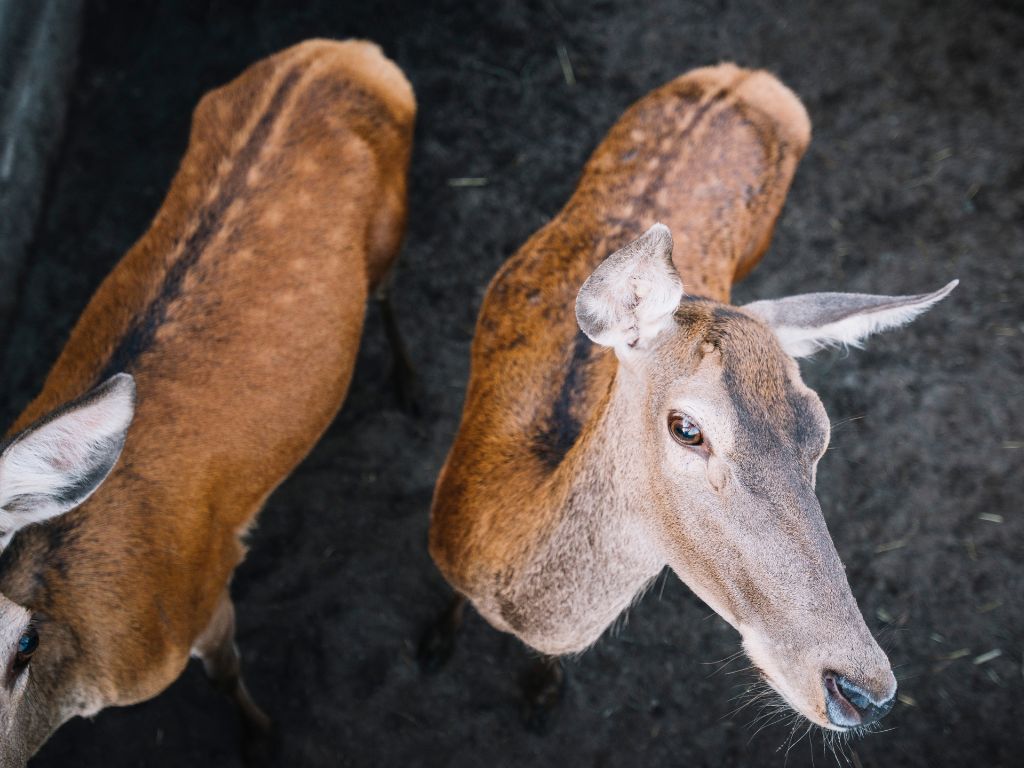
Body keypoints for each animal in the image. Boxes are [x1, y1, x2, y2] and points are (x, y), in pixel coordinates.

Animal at [0, 38, 414, 765]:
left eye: (21, 643)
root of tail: (348, 51)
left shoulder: (204, 596)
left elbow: (226, 673)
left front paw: (262, 738)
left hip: (394, 219)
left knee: (390, 292)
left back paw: (411, 388)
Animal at [426, 62, 956, 735]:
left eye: (821, 436)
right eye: (686, 428)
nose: (863, 689)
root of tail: (748, 76)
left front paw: (543, 696)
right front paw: (434, 642)